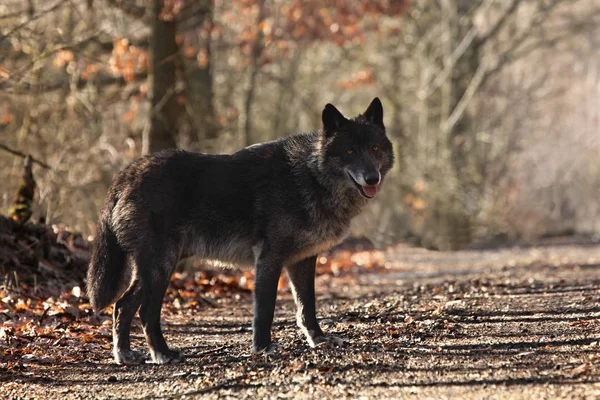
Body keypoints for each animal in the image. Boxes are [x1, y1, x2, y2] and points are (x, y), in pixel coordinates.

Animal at [85, 97, 394, 362]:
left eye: (375, 149)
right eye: (350, 151)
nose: (372, 178)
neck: (310, 176)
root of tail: (128, 172)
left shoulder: (303, 261)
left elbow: (307, 306)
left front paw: (318, 339)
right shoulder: (269, 258)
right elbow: (265, 309)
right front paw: (263, 347)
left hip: (154, 267)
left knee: (122, 305)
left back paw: (124, 355)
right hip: (162, 266)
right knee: (146, 311)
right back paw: (162, 354)